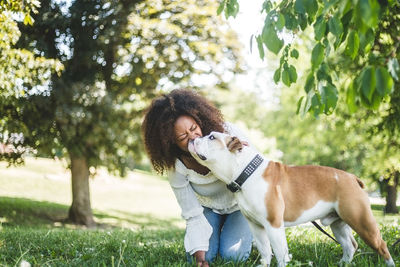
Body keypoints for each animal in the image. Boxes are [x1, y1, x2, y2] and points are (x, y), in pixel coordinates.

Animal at [189, 132, 396, 267]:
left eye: (211, 137)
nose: (192, 138)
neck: (245, 172)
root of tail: (352, 177)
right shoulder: (256, 226)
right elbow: (265, 251)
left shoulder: (273, 225)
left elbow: (280, 253)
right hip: (338, 223)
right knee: (350, 246)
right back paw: (343, 263)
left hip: (361, 220)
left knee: (381, 246)